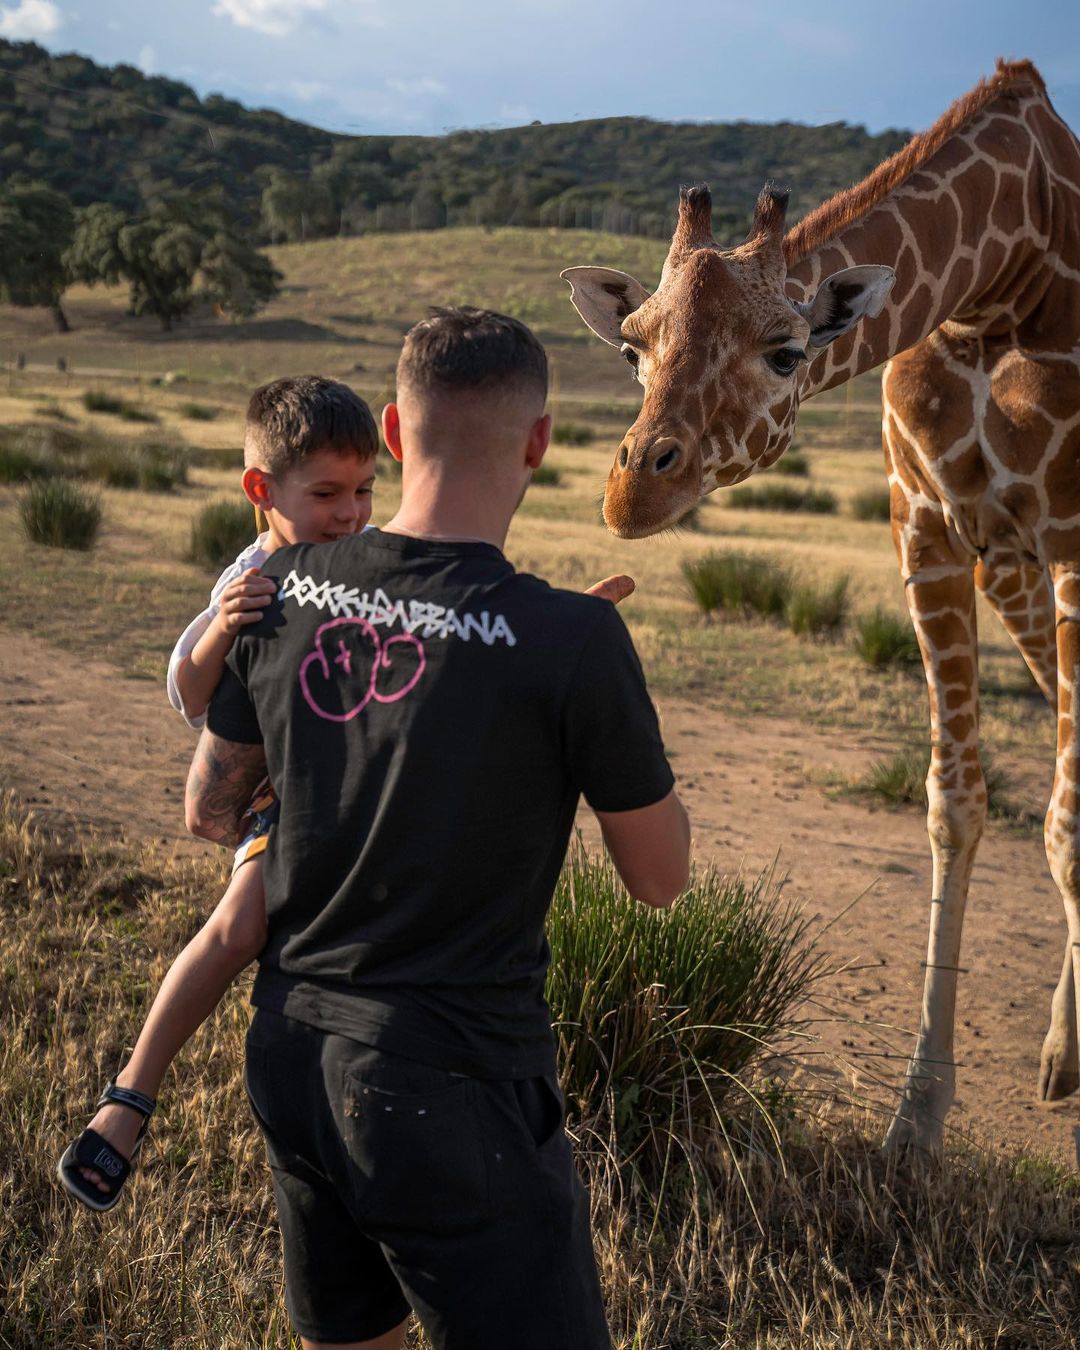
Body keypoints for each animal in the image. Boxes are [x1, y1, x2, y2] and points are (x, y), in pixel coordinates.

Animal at [561, 63, 1080, 1155]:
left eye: (788, 351)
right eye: (631, 349)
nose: (630, 493)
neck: (1006, 280)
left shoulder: (1077, 540)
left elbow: (1059, 815)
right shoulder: (927, 526)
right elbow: (954, 803)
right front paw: (917, 1119)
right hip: (1013, 572)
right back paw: (1062, 1050)